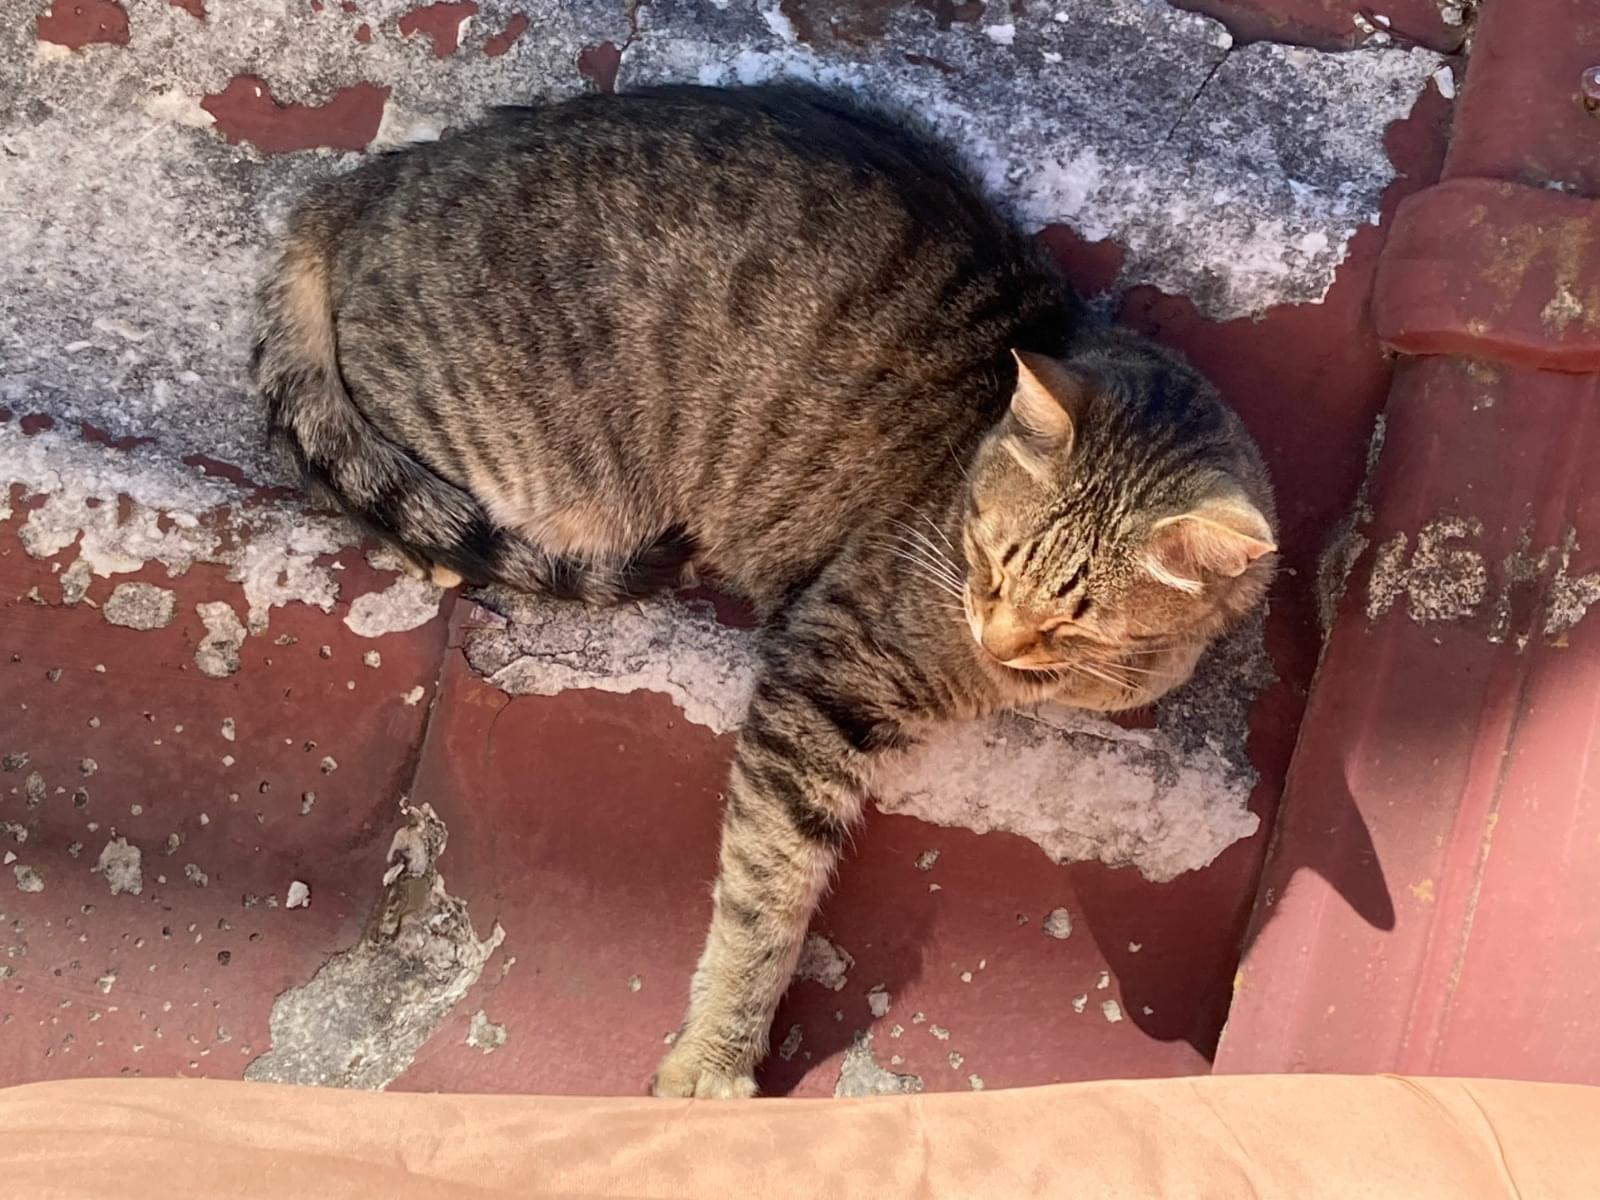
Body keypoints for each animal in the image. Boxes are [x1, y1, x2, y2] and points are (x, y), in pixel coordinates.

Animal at [252, 83, 1276, 1098]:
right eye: (989, 561)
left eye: (1075, 627)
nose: (997, 636)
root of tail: (379, 178)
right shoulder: (824, 674)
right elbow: (766, 888)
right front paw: (715, 1056)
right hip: (535, 472)